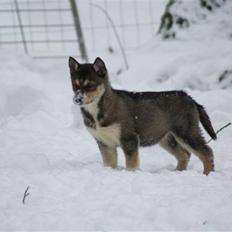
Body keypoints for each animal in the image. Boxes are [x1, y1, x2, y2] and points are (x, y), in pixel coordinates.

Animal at [68, 56, 217, 174]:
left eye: (90, 85)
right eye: (75, 85)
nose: (77, 100)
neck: (97, 110)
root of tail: (191, 99)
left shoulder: (129, 139)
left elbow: (131, 164)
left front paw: (130, 174)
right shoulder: (104, 143)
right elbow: (109, 164)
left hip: (186, 132)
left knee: (207, 152)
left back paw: (207, 174)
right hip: (167, 138)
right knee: (184, 154)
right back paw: (178, 173)